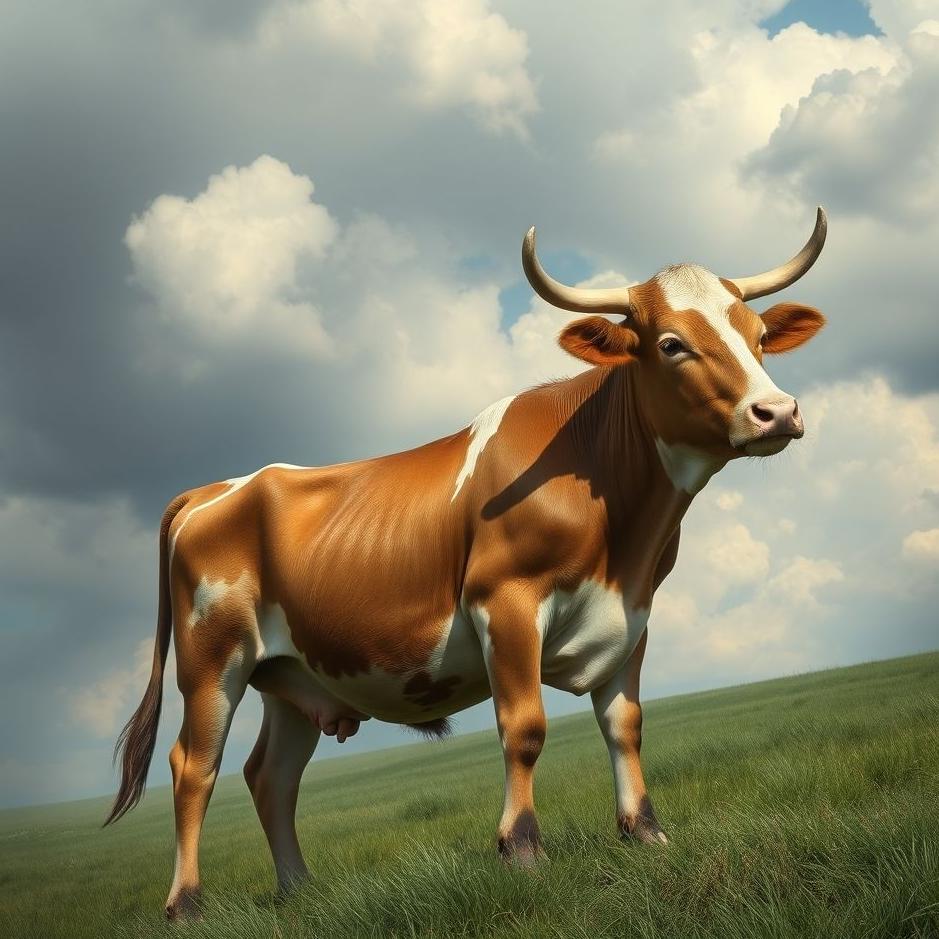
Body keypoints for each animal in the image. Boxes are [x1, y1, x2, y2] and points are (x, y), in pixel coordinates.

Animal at [105, 210, 828, 920]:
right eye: (672, 343)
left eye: (759, 335)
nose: (776, 412)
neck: (622, 537)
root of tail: (217, 488)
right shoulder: (504, 601)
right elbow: (524, 726)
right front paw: (522, 849)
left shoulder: (633, 614)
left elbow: (624, 725)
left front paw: (645, 833)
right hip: (212, 658)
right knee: (194, 767)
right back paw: (186, 904)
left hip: (288, 672)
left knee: (271, 775)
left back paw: (298, 889)